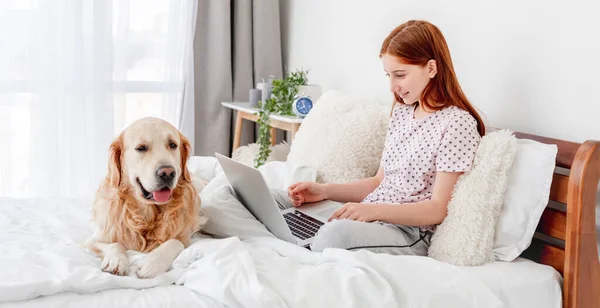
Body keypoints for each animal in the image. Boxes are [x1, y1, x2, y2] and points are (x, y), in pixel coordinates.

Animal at [86, 116, 209, 278]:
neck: (147, 215)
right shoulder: (95, 238)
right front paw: (116, 261)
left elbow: (174, 242)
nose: (167, 173)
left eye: (173, 145)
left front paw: (152, 263)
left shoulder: (186, 235)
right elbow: (115, 244)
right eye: (141, 148)